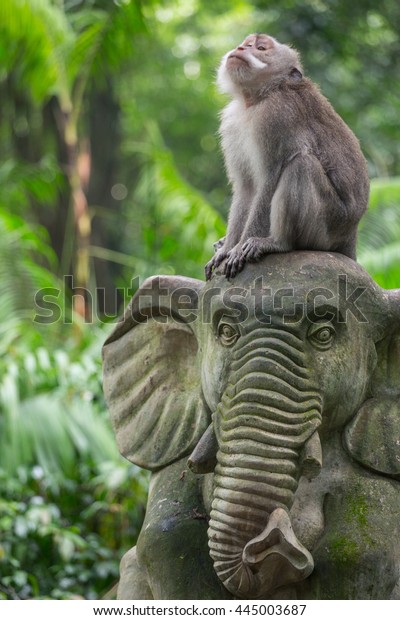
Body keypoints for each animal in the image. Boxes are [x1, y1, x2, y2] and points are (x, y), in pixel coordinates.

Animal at [205, 31, 370, 278]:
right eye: (246, 44)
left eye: (261, 48)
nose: (241, 49)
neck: (258, 98)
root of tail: (351, 234)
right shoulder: (232, 122)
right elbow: (246, 187)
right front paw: (226, 250)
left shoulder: (275, 117)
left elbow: (269, 179)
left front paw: (237, 248)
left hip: (329, 225)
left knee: (301, 165)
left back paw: (278, 243)